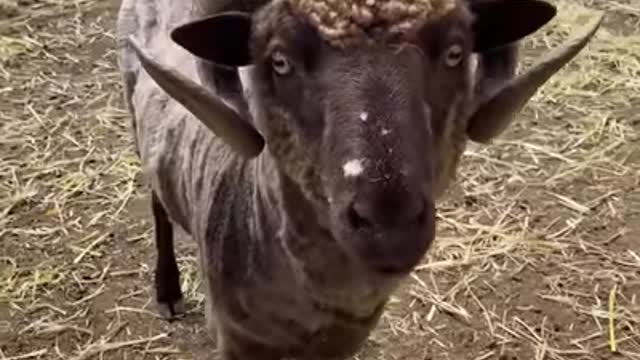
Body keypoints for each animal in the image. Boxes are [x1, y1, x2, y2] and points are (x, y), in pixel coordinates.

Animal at [115, 1, 600, 358]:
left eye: (455, 53)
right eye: (279, 61)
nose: (389, 222)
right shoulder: (236, 342)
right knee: (157, 204)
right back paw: (168, 290)